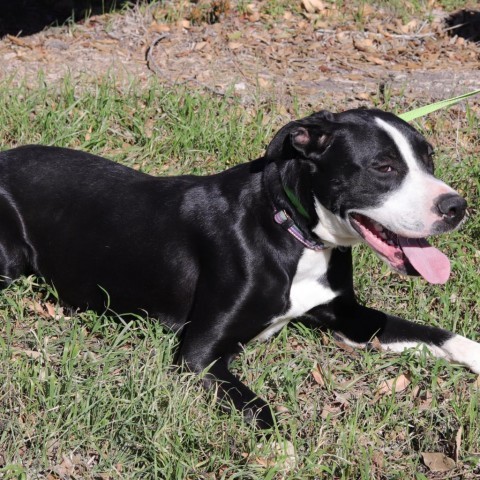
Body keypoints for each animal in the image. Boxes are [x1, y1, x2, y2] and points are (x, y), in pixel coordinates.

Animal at [0, 109, 478, 428]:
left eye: (430, 159)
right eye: (383, 167)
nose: (457, 207)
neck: (293, 231)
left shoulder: (349, 317)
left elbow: (436, 334)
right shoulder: (199, 356)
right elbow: (264, 415)